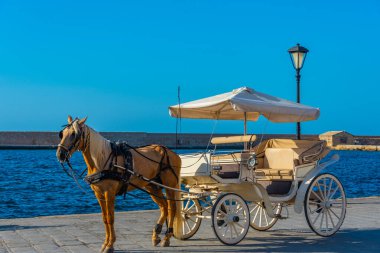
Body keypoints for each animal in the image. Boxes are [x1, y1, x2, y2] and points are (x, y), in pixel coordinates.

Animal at [54, 115, 183, 252]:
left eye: (74, 134)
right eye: (62, 134)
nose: (60, 154)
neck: (102, 159)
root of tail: (173, 153)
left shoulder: (109, 193)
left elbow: (111, 218)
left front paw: (110, 245)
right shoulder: (99, 194)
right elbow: (105, 218)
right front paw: (105, 244)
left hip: (170, 185)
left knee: (172, 208)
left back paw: (167, 238)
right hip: (152, 186)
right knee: (164, 207)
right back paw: (156, 234)